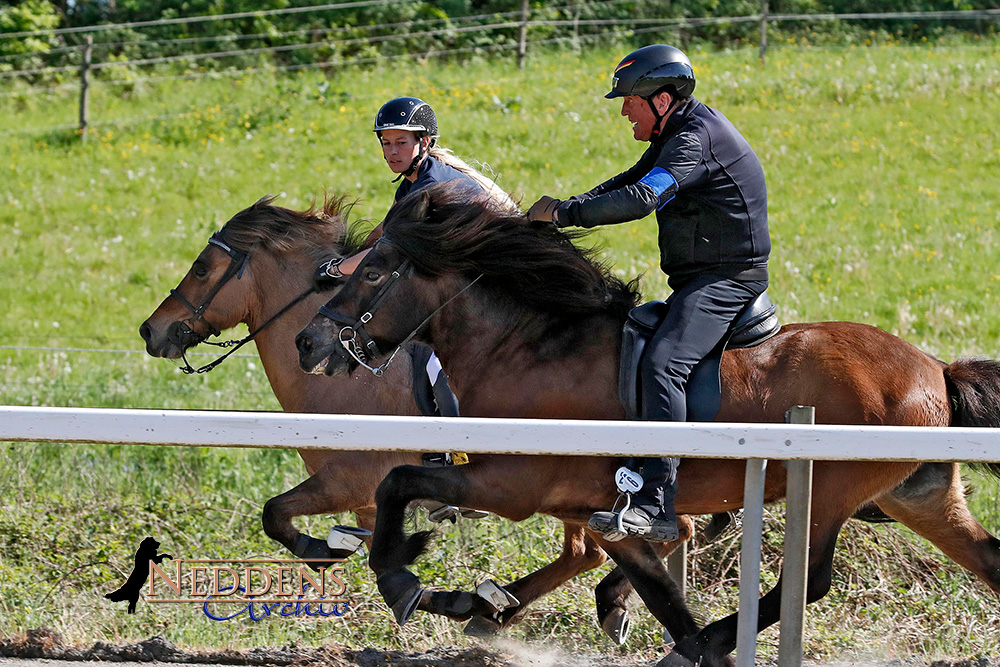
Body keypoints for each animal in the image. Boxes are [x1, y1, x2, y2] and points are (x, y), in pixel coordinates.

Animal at [292, 181, 1000, 667]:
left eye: (374, 272)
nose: (307, 340)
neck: (528, 347)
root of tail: (934, 368)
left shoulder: (510, 484)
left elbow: (397, 483)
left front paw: (406, 577)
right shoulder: (600, 515)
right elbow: (660, 594)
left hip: (831, 488)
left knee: (812, 578)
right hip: (917, 495)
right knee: (989, 559)